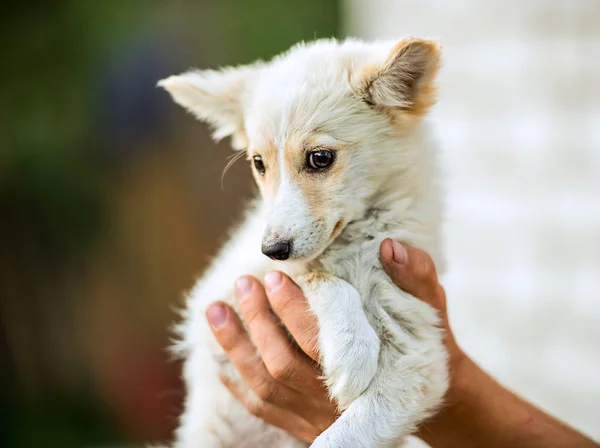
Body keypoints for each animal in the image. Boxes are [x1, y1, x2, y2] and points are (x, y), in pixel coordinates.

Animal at [159, 37, 450, 448]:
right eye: (259, 163)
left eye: (320, 158)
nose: (273, 249)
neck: (350, 242)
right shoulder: (228, 291)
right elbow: (316, 277)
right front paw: (353, 353)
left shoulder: (414, 350)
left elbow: (343, 437)